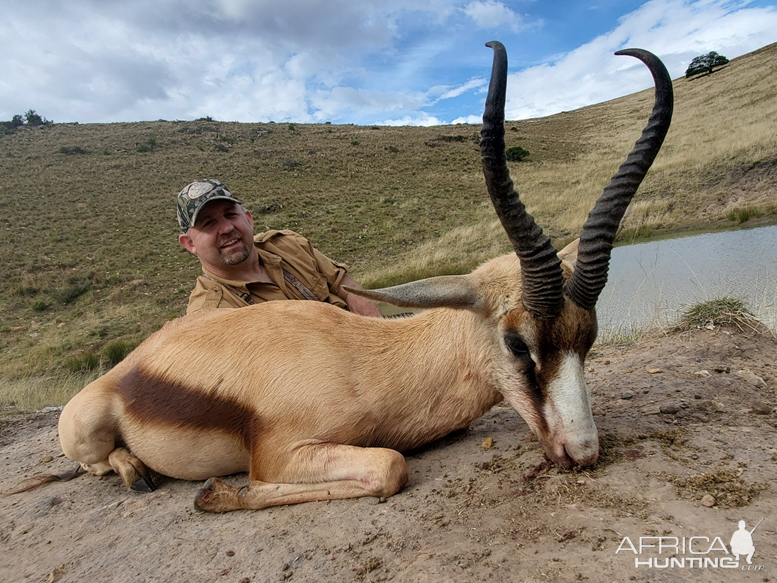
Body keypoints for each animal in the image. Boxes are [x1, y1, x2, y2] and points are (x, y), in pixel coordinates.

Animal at [47, 43, 672, 512]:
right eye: (518, 343)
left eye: (588, 338)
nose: (583, 453)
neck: (366, 361)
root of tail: (122, 373)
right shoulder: (280, 454)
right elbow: (389, 467)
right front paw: (217, 494)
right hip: (86, 431)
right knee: (97, 463)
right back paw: (136, 472)